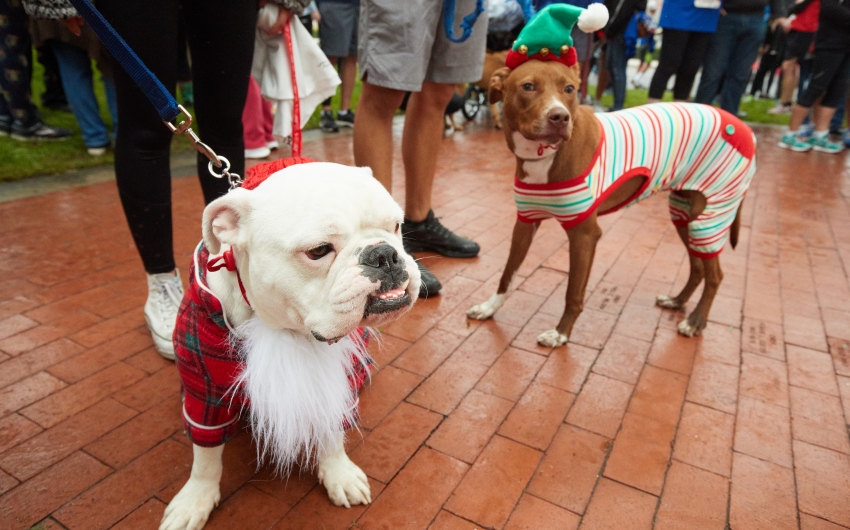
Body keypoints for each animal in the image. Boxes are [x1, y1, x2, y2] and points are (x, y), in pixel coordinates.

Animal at [468, 59, 752, 344]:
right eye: (528, 86)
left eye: (569, 89)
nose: (560, 117)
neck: (544, 155)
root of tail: (742, 126)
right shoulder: (525, 223)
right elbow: (508, 274)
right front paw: (489, 308)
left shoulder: (584, 234)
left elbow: (573, 292)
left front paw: (561, 334)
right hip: (685, 216)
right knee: (698, 268)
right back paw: (677, 301)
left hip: (712, 216)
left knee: (715, 275)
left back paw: (695, 322)